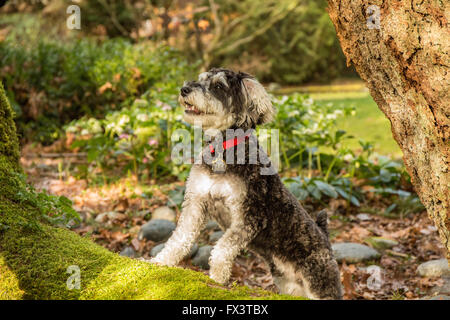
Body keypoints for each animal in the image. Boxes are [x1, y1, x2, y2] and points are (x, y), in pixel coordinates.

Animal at [151, 68, 342, 300]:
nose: (184, 89)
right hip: (289, 284)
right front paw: (160, 262)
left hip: (320, 280)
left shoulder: (250, 215)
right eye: (201, 79)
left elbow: (223, 248)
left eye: (218, 86)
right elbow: (180, 238)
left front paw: (217, 278)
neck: (223, 148)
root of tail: (325, 238)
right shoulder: (196, 203)